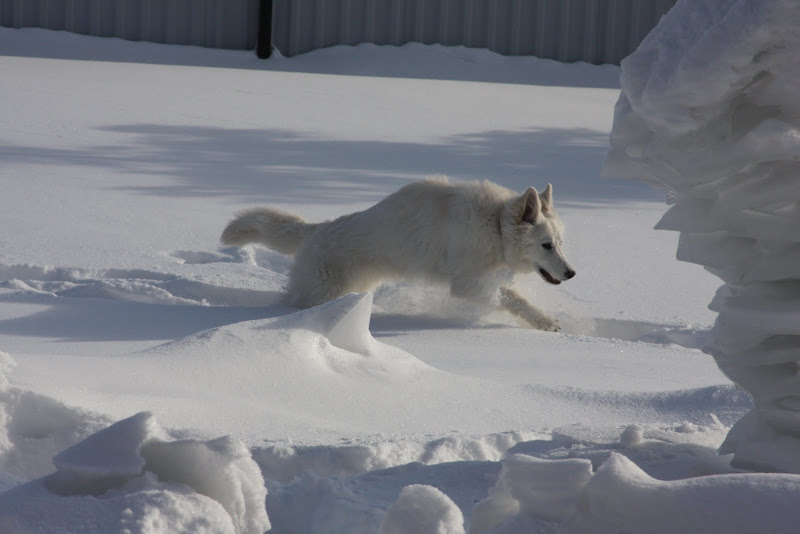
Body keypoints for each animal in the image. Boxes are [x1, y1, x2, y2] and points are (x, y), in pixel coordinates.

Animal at [222, 179, 576, 330]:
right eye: (546, 245)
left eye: (560, 243)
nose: (571, 274)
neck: (496, 224)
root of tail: (316, 229)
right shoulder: (467, 284)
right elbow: (512, 298)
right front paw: (543, 321)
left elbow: (514, 296)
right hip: (321, 290)